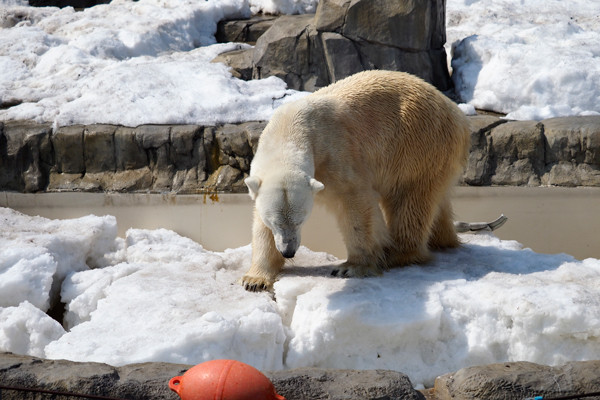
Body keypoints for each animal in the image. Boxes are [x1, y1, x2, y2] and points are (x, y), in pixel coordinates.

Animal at [241, 70, 472, 292]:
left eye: (300, 220)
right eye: (275, 222)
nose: (288, 251)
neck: (290, 127)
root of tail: (457, 114)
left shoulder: (336, 153)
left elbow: (355, 203)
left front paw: (352, 266)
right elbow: (261, 227)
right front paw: (254, 280)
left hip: (418, 143)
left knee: (409, 199)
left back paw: (397, 253)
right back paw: (444, 240)